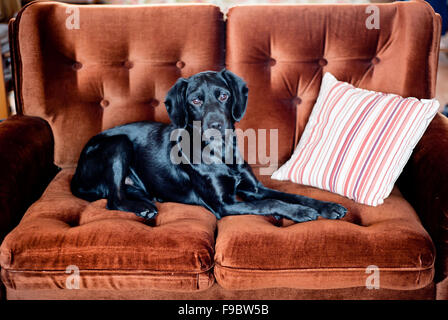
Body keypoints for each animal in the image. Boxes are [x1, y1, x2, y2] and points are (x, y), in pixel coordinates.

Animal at [72, 69, 348, 222]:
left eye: (224, 96)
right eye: (195, 100)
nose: (216, 125)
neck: (220, 154)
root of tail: (75, 174)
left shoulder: (254, 189)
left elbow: (292, 195)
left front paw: (327, 206)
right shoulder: (224, 205)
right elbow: (270, 203)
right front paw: (299, 212)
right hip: (118, 144)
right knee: (113, 199)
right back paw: (143, 208)